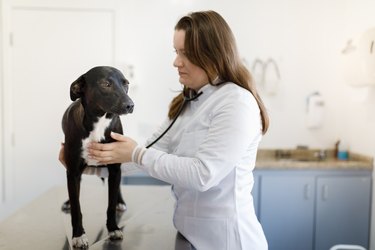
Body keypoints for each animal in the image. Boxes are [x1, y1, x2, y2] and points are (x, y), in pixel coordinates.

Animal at [60, 66, 134, 248]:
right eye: (105, 84)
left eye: (126, 84)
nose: (130, 105)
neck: (100, 123)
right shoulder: (73, 171)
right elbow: (76, 208)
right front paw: (78, 235)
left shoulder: (114, 168)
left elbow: (110, 205)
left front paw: (113, 228)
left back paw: (120, 202)